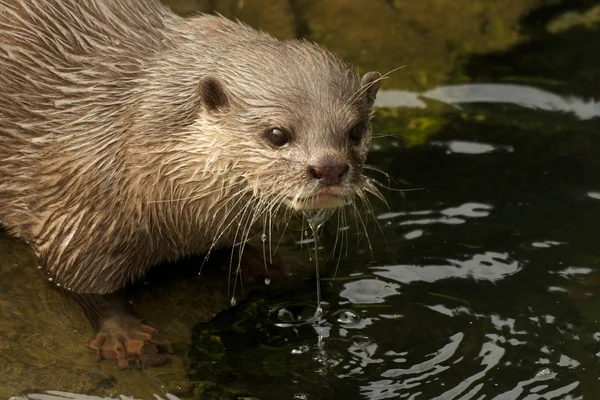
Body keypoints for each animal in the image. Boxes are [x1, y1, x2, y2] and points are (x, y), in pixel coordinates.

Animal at [0, 0, 382, 368]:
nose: (330, 168)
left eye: (355, 130)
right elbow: (83, 282)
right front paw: (126, 336)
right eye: (276, 134)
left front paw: (261, 262)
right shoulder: (83, 209)